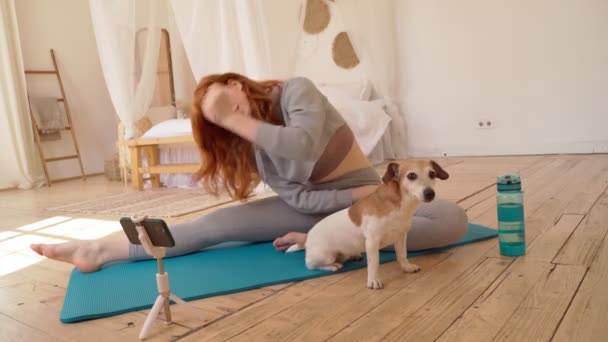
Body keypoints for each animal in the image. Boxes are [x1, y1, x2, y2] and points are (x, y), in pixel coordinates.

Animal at [288, 160, 448, 288]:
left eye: (432, 174)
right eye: (411, 176)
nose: (430, 193)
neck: (398, 206)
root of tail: (307, 239)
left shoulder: (401, 237)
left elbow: (402, 255)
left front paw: (406, 267)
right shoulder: (372, 242)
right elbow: (373, 263)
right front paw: (373, 281)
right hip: (324, 256)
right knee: (311, 265)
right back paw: (333, 266)